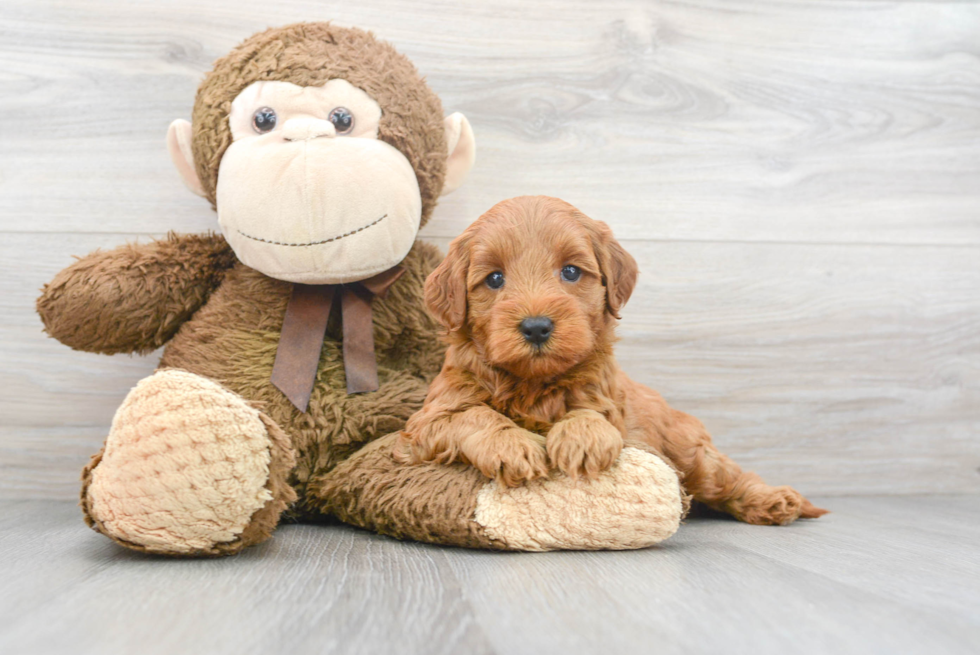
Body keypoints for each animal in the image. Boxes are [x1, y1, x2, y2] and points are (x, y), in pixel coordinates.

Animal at [396, 196, 828, 528]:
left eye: (571, 271)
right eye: (495, 279)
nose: (536, 327)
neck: (534, 384)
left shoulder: (609, 402)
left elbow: (591, 414)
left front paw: (582, 439)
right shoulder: (428, 421)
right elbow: (475, 415)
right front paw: (512, 447)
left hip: (691, 454)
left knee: (730, 478)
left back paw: (775, 501)